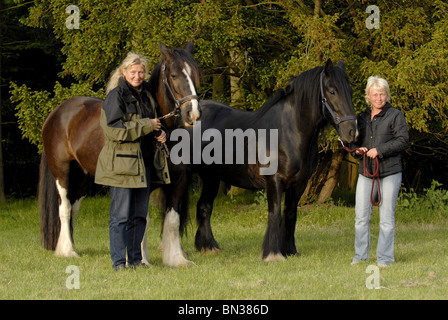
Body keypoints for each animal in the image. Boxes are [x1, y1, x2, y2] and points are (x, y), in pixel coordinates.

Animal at [182, 58, 356, 262]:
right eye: (332, 90)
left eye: (350, 91)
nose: (351, 131)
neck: (288, 131)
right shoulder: (274, 180)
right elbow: (275, 214)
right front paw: (272, 254)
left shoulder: (299, 184)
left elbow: (290, 214)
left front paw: (290, 250)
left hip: (211, 177)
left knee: (204, 207)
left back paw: (208, 247)